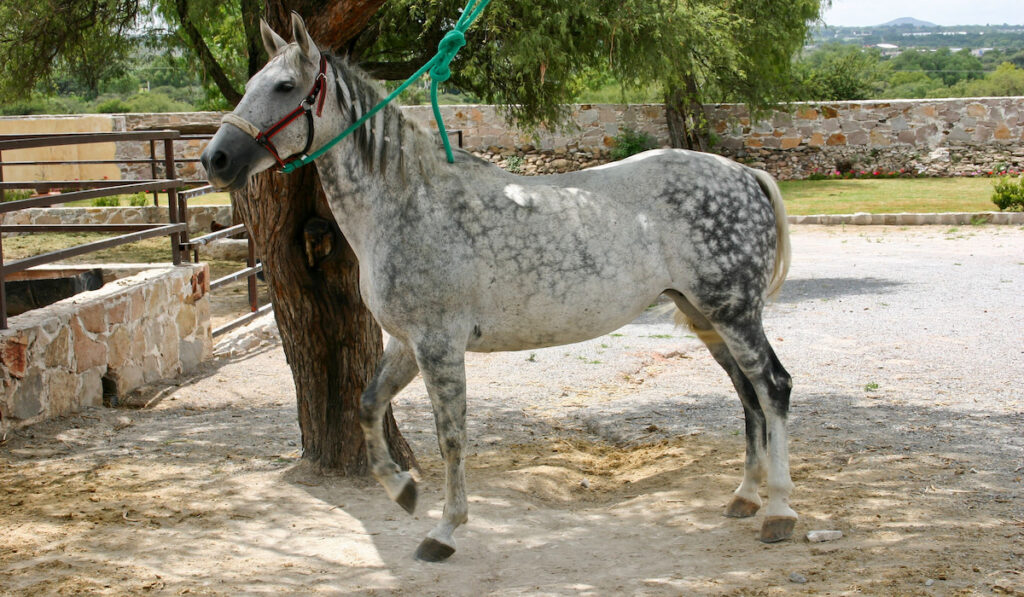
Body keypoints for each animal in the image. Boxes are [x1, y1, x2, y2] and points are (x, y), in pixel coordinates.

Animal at [197, 15, 790, 565]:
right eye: (251, 83)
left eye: (284, 87)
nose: (214, 159)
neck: (406, 201)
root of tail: (744, 174)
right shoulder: (407, 342)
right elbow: (367, 406)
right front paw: (402, 491)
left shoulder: (438, 344)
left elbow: (451, 436)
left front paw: (444, 530)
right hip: (705, 317)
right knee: (748, 395)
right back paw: (745, 497)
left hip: (734, 313)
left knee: (773, 387)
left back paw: (779, 512)